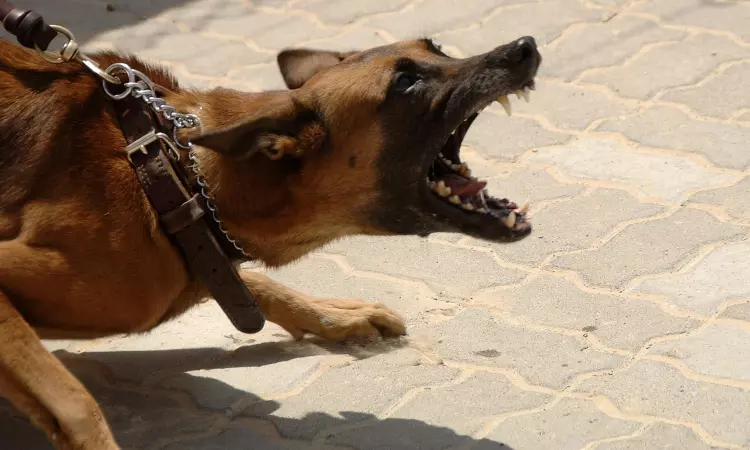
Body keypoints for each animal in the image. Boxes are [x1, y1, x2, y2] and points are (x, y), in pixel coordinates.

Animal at [0, 33, 540, 449]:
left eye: (438, 48)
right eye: (405, 82)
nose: (524, 48)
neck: (170, 174)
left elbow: (251, 283)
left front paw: (333, 315)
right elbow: (74, 402)